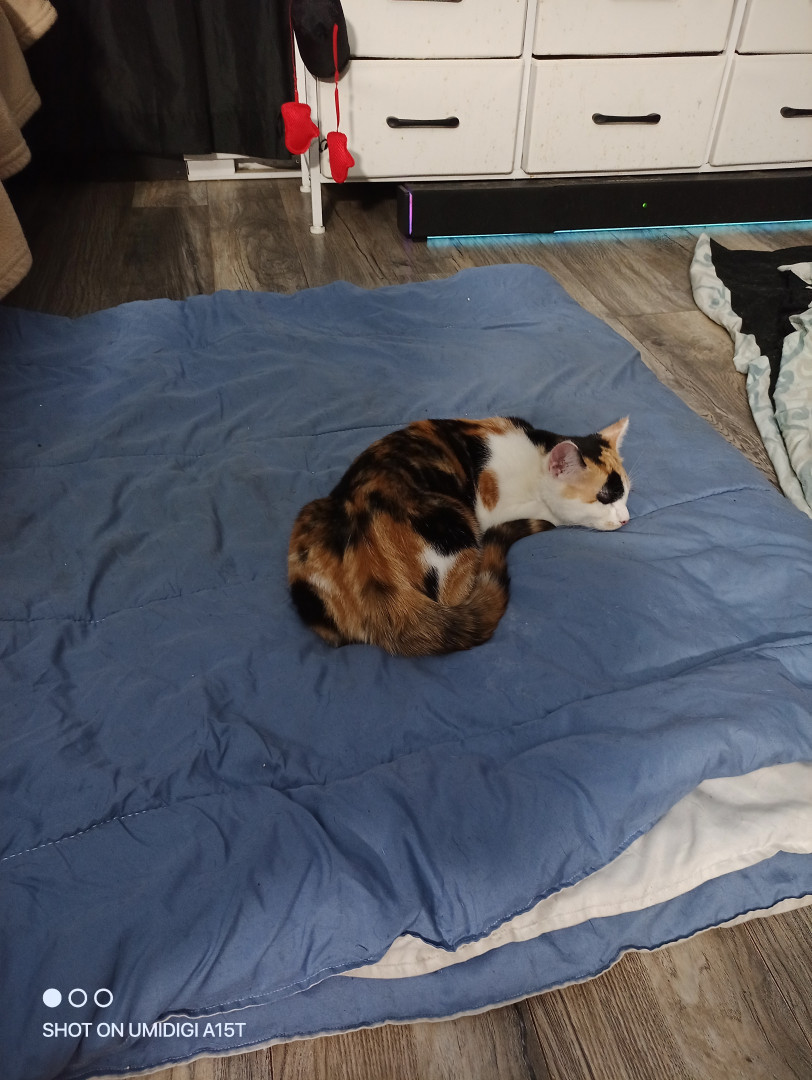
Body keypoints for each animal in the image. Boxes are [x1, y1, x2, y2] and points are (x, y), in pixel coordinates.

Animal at [288, 415, 630, 656]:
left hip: (310, 516)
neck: (536, 458)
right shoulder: (498, 509)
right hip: (455, 521)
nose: (626, 518)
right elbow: (553, 516)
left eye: (626, 494)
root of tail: (373, 577)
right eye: (603, 498)